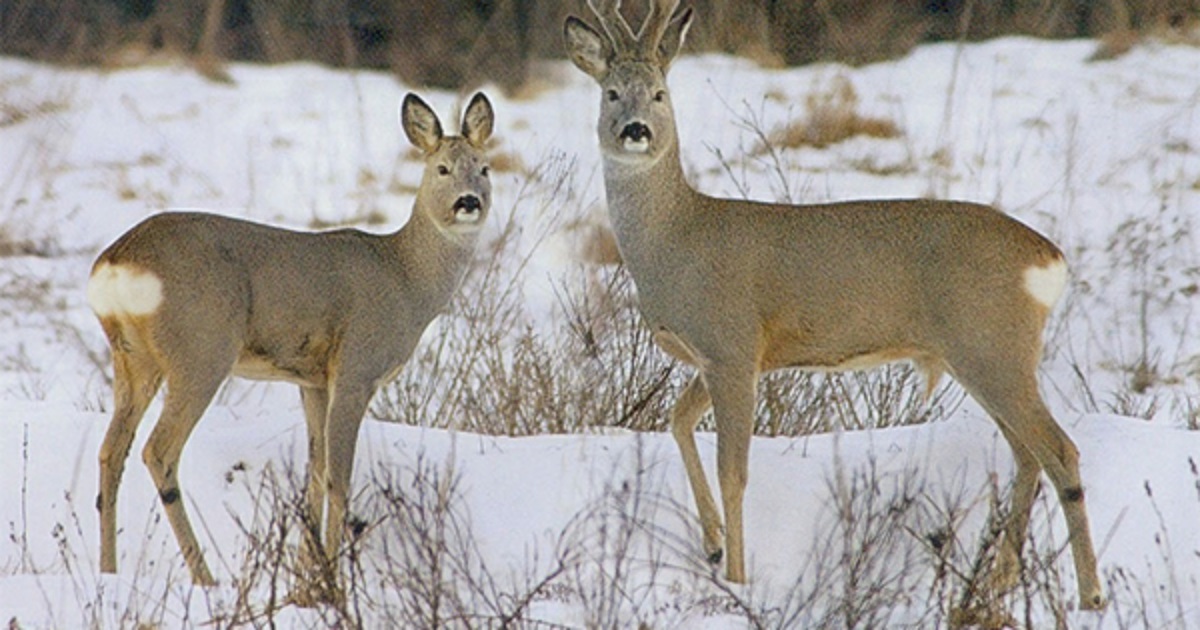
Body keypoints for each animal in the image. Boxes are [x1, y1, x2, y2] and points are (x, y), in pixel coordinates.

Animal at [87, 93, 492, 590]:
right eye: (441, 168)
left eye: (484, 167)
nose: (469, 201)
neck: (405, 278)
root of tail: (115, 262)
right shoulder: (357, 367)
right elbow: (339, 476)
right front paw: (335, 584)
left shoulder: (312, 380)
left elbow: (314, 473)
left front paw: (307, 577)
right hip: (201, 348)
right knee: (158, 451)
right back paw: (206, 577)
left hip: (132, 356)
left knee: (112, 451)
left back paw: (108, 570)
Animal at [564, 1, 1104, 609]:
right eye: (611, 93)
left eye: (660, 94)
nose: (636, 130)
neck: (676, 238)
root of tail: (1050, 257)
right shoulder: (718, 356)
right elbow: (677, 422)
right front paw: (712, 544)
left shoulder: (731, 343)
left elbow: (734, 470)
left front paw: (739, 578)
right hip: (985, 355)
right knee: (1026, 454)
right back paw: (999, 582)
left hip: (991, 344)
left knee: (1059, 451)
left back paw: (1089, 595)